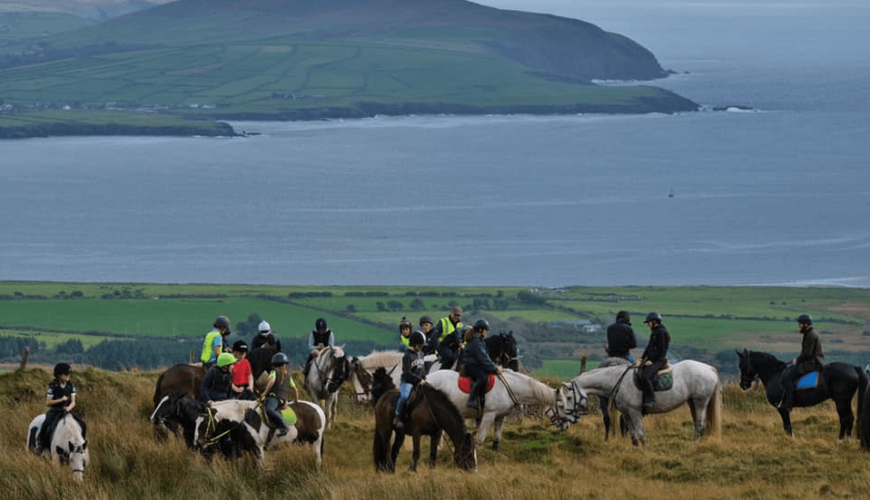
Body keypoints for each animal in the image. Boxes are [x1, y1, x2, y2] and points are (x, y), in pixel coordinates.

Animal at [426, 370, 568, 452]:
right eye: (561, 406)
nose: (566, 426)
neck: (509, 388)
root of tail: (427, 378)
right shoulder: (489, 415)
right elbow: (481, 437)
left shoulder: (501, 416)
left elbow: (497, 434)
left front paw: (495, 449)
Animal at [560, 360, 724, 446]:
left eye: (569, 398)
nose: (567, 422)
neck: (617, 379)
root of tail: (708, 368)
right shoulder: (626, 413)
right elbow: (633, 435)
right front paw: (636, 449)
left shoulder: (635, 412)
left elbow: (640, 433)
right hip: (692, 402)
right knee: (698, 423)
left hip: (700, 402)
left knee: (700, 425)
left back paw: (694, 444)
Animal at [740, 350, 868, 440]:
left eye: (742, 365)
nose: (743, 385)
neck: (774, 374)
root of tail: (853, 368)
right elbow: (787, 425)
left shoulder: (782, 408)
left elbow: (787, 425)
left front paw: (791, 439)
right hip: (844, 401)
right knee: (848, 417)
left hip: (841, 401)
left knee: (846, 417)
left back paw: (841, 440)